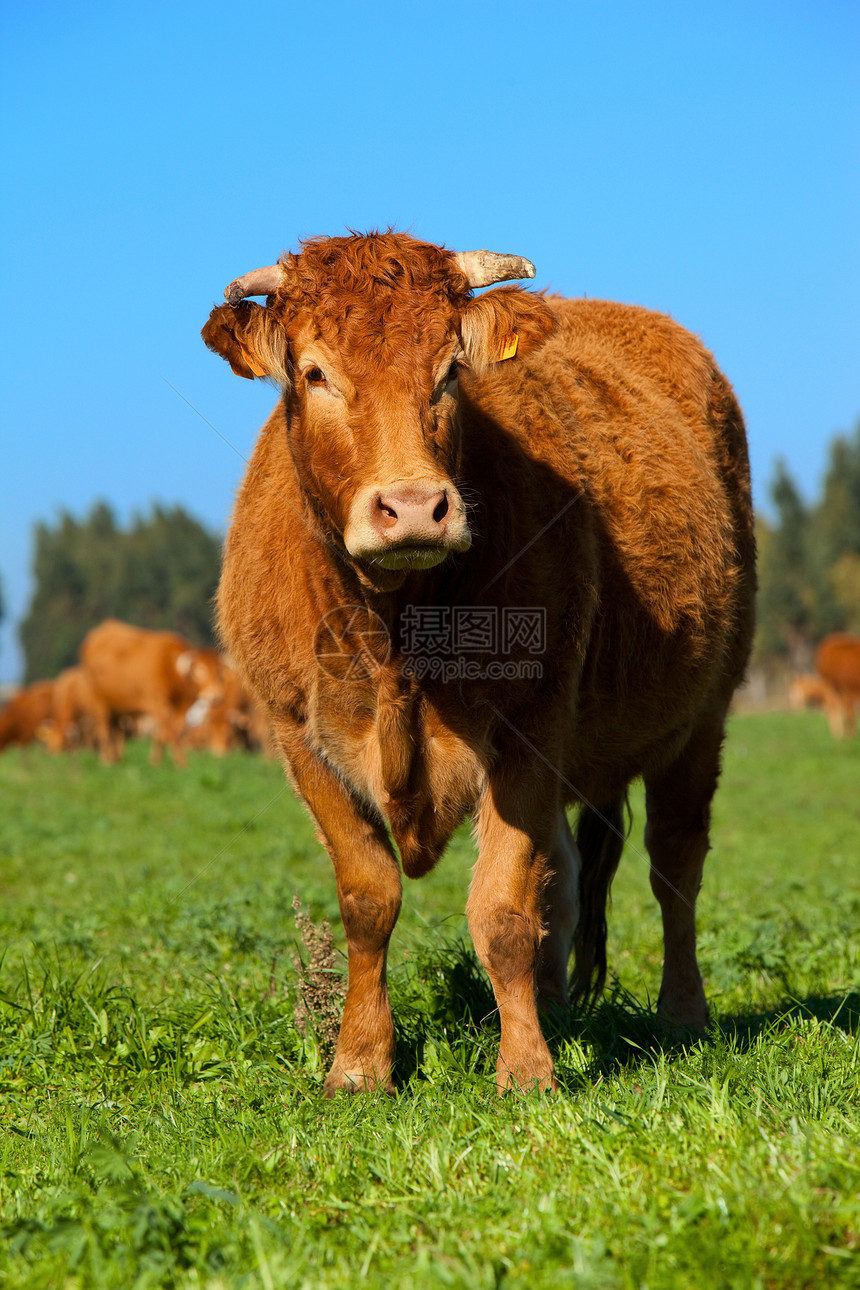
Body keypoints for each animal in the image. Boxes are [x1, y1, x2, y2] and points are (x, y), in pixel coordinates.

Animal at [80, 616, 225, 758]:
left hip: (117, 706)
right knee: (103, 729)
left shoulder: (177, 707)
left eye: (218, 672)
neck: (170, 667)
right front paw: (178, 762)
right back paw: (106, 759)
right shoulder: (158, 703)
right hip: (99, 701)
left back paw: (114, 757)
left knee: (115, 731)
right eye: (199, 671)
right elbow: (170, 732)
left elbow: (166, 732)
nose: (216, 696)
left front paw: (157, 759)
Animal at [202, 229, 752, 1088]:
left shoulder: (531, 723)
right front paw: (359, 1063)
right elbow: (369, 897)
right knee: (567, 875)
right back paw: (558, 1007)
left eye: (450, 371)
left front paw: (526, 1070)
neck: (394, 630)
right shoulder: (296, 736)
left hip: (704, 716)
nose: (414, 508)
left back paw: (682, 1014)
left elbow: (502, 909)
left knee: (675, 864)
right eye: (315, 373)